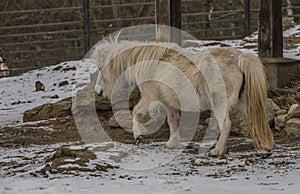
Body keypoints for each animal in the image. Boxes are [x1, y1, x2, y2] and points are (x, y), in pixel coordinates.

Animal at [91, 38, 274, 157]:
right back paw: (265, 147)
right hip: (244, 103)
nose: (98, 92)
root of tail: (239, 58)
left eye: (100, 68)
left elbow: (137, 112)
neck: (153, 63)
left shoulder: (150, 97)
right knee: (257, 119)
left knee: (227, 124)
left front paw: (138, 135)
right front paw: (173, 143)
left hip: (220, 104)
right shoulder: (169, 104)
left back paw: (217, 151)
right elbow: (173, 121)